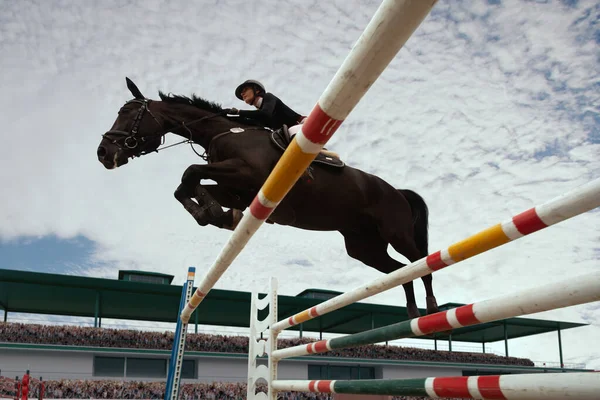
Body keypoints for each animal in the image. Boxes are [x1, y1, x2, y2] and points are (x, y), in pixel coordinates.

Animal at [97, 77, 440, 318]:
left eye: (127, 113)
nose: (102, 153)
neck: (225, 132)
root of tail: (397, 191)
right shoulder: (237, 189)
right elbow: (189, 185)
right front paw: (213, 214)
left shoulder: (246, 175)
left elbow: (191, 171)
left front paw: (212, 213)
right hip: (363, 246)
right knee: (398, 270)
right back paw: (411, 312)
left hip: (395, 232)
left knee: (419, 261)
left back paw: (432, 306)